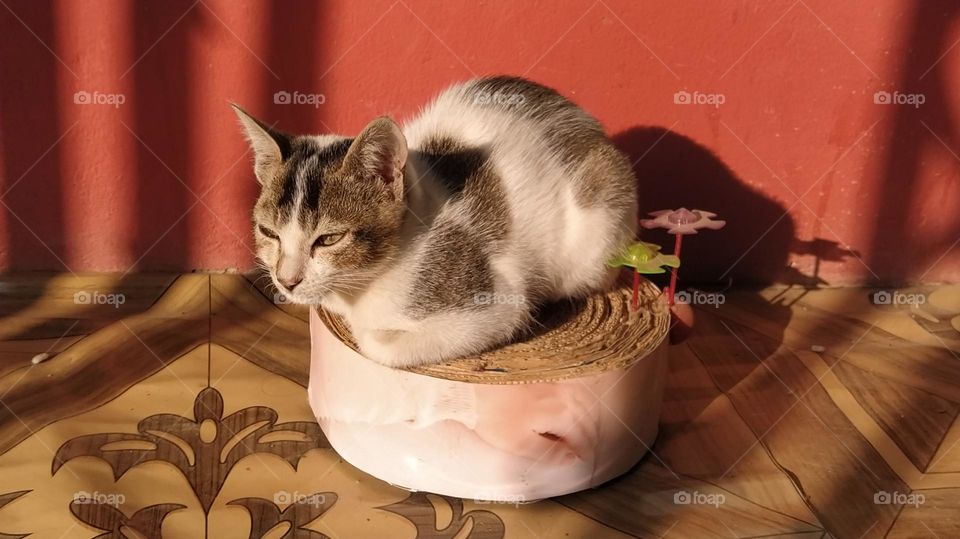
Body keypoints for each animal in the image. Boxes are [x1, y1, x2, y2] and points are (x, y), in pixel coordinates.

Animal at [232, 76, 636, 370]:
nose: (286, 281)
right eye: (268, 232)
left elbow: (378, 344)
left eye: (329, 239)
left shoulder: (495, 303)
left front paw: (368, 330)